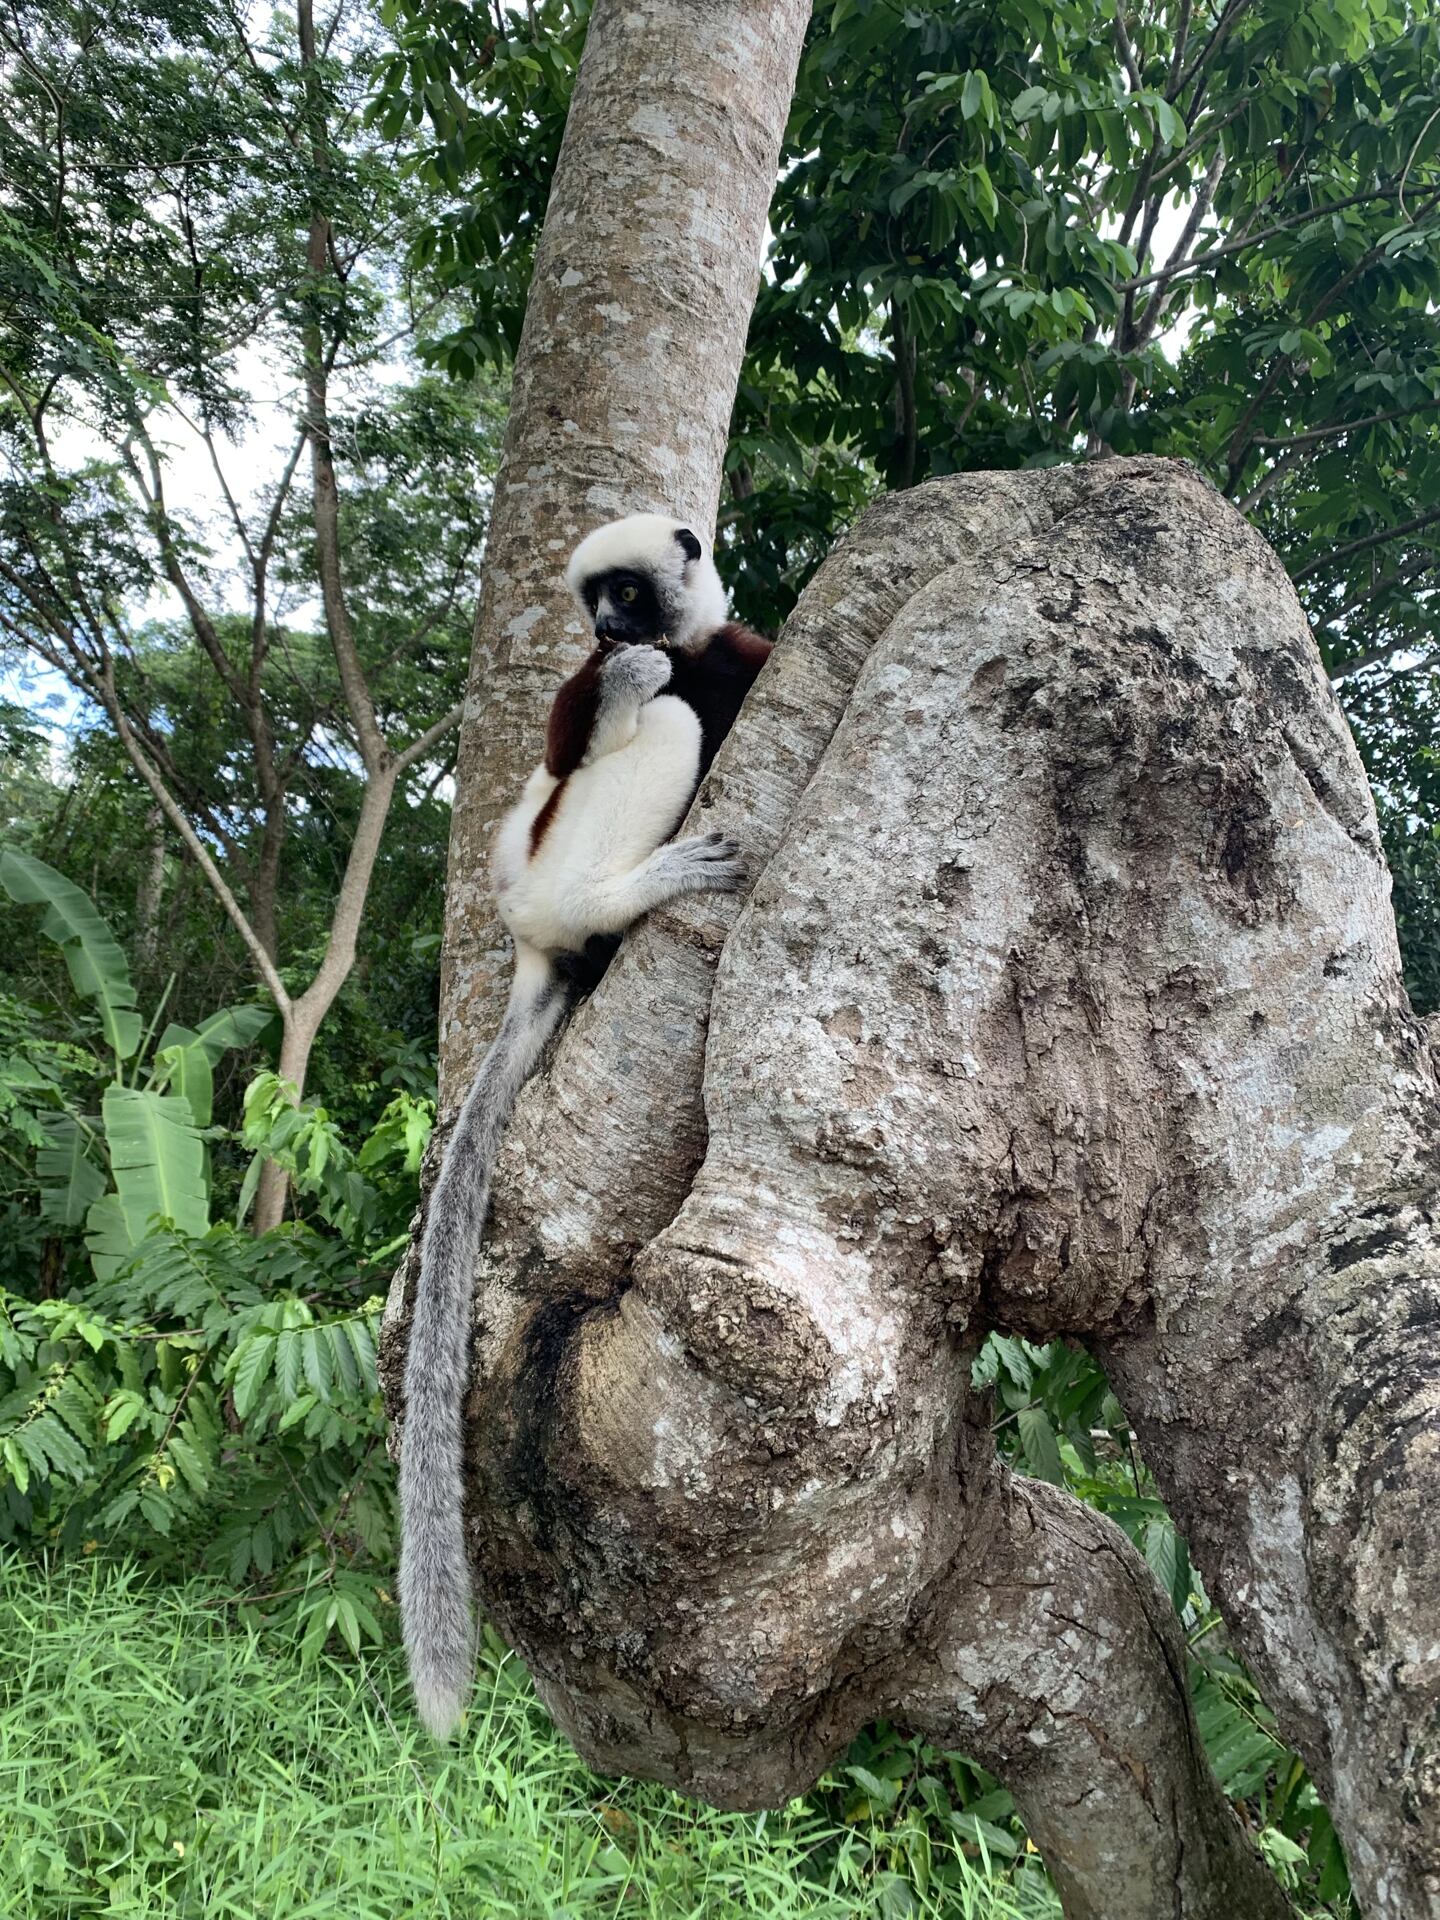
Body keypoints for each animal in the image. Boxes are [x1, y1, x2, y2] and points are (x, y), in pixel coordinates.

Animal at [400, 514, 771, 1741]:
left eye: (626, 591)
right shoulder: (596, 699)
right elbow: (575, 736)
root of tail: (527, 932)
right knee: (657, 726)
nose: (611, 631)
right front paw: (620, 682)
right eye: (593, 602)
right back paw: (627, 885)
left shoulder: (742, 648)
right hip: (547, 860)